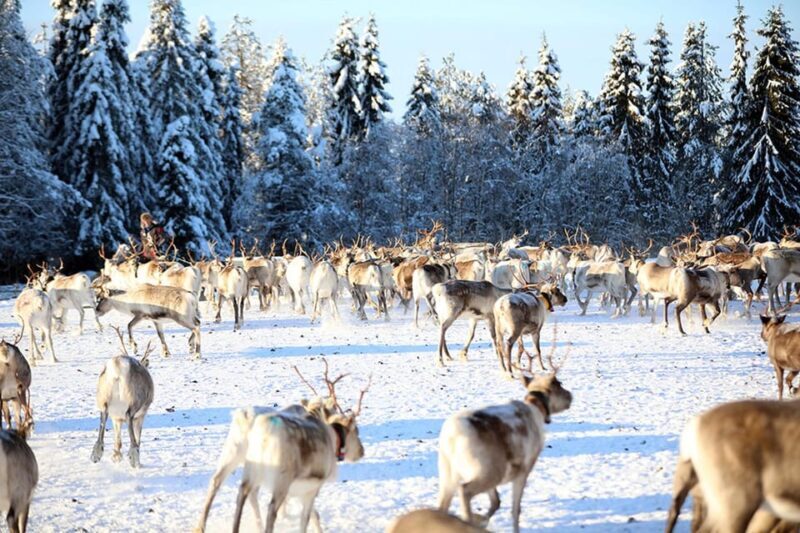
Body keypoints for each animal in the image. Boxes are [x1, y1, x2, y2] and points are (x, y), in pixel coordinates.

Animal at [90, 329, 154, 468]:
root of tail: (118, 367)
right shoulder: (142, 415)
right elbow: (138, 437)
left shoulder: (116, 418)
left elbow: (118, 438)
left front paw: (116, 456)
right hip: (133, 401)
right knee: (129, 419)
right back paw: (135, 460)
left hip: (103, 397)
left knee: (103, 417)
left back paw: (96, 455)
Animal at [202, 360, 369, 533]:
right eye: (356, 431)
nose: (362, 451)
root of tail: (245, 418)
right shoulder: (309, 487)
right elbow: (310, 515)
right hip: (278, 475)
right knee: (267, 504)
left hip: (235, 454)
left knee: (223, 484)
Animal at [437, 349, 572, 533]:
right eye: (559, 384)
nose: (571, 396)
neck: (537, 408)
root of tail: (452, 436)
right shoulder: (525, 468)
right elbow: (515, 509)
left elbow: (496, 502)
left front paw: (482, 520)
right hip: (488, 471)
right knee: (464, 490)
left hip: (448, 472)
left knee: (442, 505)